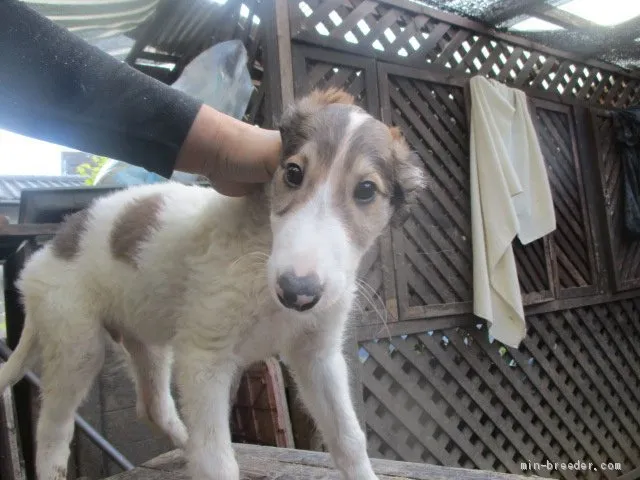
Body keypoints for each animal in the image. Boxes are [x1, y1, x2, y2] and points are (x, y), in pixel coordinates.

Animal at [0, 88, 424, 478]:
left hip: (148, 342)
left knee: (152, 407)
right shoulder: (205, 357)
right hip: (77, 343)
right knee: (52, 430)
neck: (261, 251)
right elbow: (217, 461)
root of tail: (48, 249)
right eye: (293, 173)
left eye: (366, 190)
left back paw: (183, 445)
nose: (296, 292)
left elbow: (349, 438)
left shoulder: (317, 353)